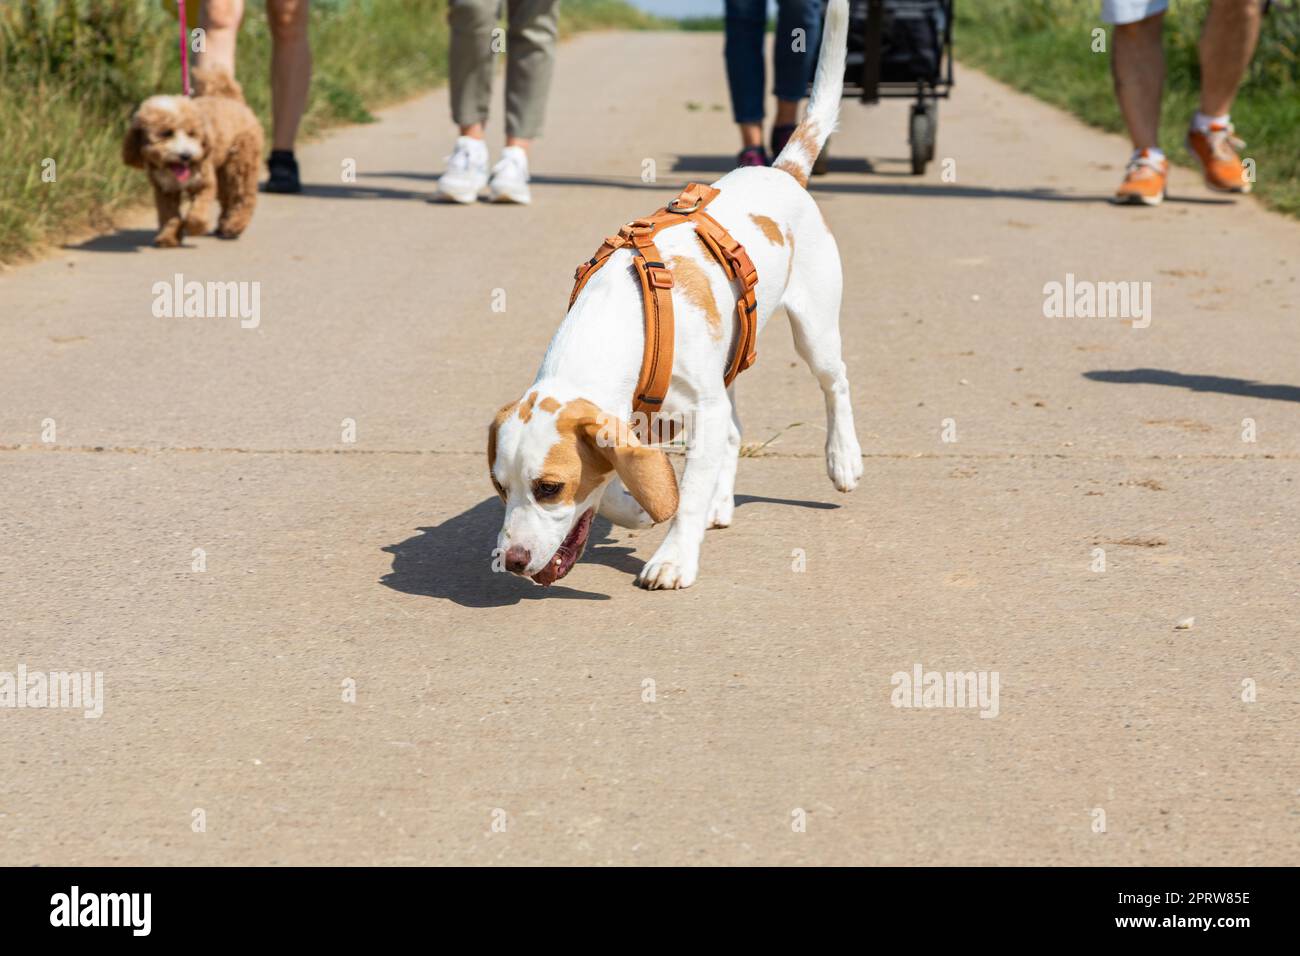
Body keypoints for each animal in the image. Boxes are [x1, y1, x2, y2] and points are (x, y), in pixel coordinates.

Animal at [488, 0, 863, 590]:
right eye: (500, 487)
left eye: (549, 488)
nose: (515, 562)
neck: (623, 323)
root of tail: (782, 172)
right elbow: (634, 486)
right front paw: (640, 507)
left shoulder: (700, 410)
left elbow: (681, 497)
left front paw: (673, 557)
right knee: (735, 431)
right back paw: (720, 499)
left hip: (816, 330)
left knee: (835, 384)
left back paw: (843, 459)